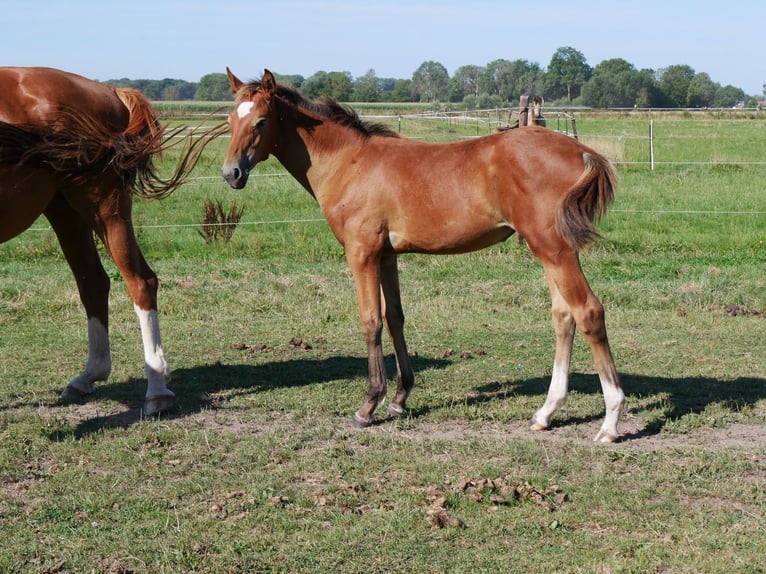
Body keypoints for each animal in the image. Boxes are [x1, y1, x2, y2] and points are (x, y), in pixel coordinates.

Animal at [0, 66, 223, 416]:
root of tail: (109, 91)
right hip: (66, 212)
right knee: (93, 282)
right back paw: (89, 376)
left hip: (104, 209)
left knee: (140, 282)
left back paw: (156, 391)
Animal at [221, 68, 626, 442]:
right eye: (230, 120)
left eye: (261, 121)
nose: (231, 174)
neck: (348, 163)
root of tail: (582, 151)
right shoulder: (387, 256)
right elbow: (395, 317)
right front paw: (400, 398)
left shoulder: (361, 253)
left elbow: (371, 320)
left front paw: (369, 405)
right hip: (550, 249)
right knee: (564, 317)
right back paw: (546, 413)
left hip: (553, 248)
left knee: (588, 311)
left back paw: (610, 422)